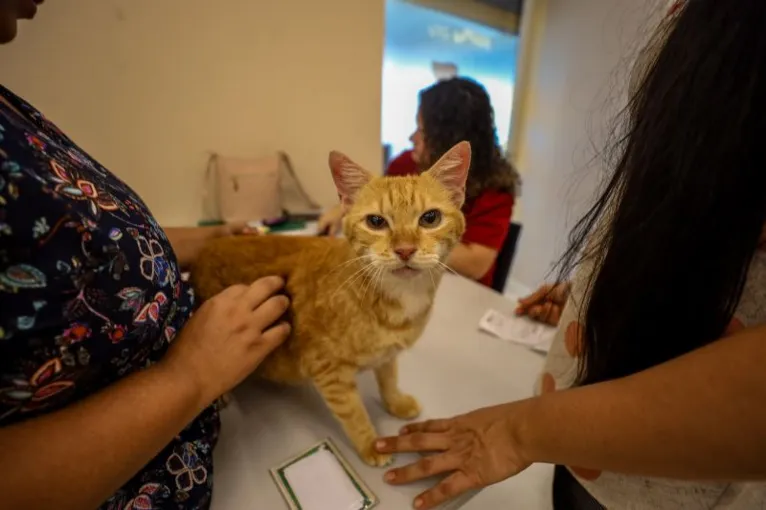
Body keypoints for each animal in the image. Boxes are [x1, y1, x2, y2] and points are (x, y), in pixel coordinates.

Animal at [190, 140, 472, 466]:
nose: (404, 250)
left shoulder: (387, 356)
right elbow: (354, 413)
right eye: (376, 221)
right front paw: (372, 445)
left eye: (430, 218)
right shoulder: (328, 371)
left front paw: (396, 402)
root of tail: (204, 251)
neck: (393, 299)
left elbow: (388, 378)